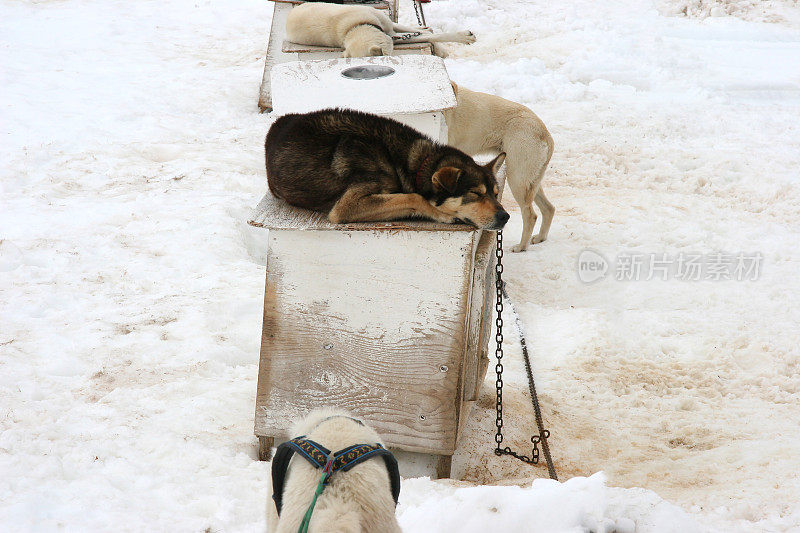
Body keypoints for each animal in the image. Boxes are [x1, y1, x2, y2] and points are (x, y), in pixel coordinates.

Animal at [266, 108, 510, 229]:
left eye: (495, 194)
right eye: (475, 194)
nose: (505, 216)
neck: (412, 165)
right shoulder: (347, 206)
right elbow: (414, 197)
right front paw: (440, 213)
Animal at [286, 1, 476, 57]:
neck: (354, 27)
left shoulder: (386, 24)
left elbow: (426, 34)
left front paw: (464, 37)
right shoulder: (391, 36)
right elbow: (425, 36)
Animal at [444, 81, 556, 251]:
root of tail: (545, 133)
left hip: (517, 179)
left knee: (530, 215)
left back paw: (521, 247)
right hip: (531, 181)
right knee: (549, 208)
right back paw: (540, 238)